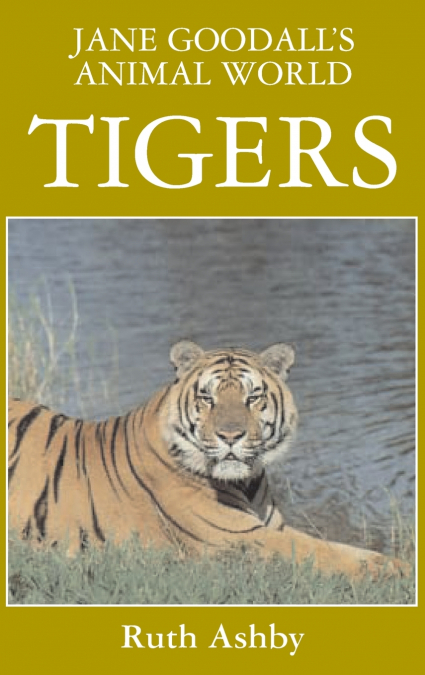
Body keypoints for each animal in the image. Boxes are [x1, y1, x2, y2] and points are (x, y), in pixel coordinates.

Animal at [8, 340, 405, 578]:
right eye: (207, 399)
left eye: (252, 397)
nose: (230, 436)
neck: (247, 480)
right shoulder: (240, 538)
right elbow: (322, 553)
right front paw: (398, 572)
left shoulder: (272, 527)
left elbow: (337, 546)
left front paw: (391, 564)